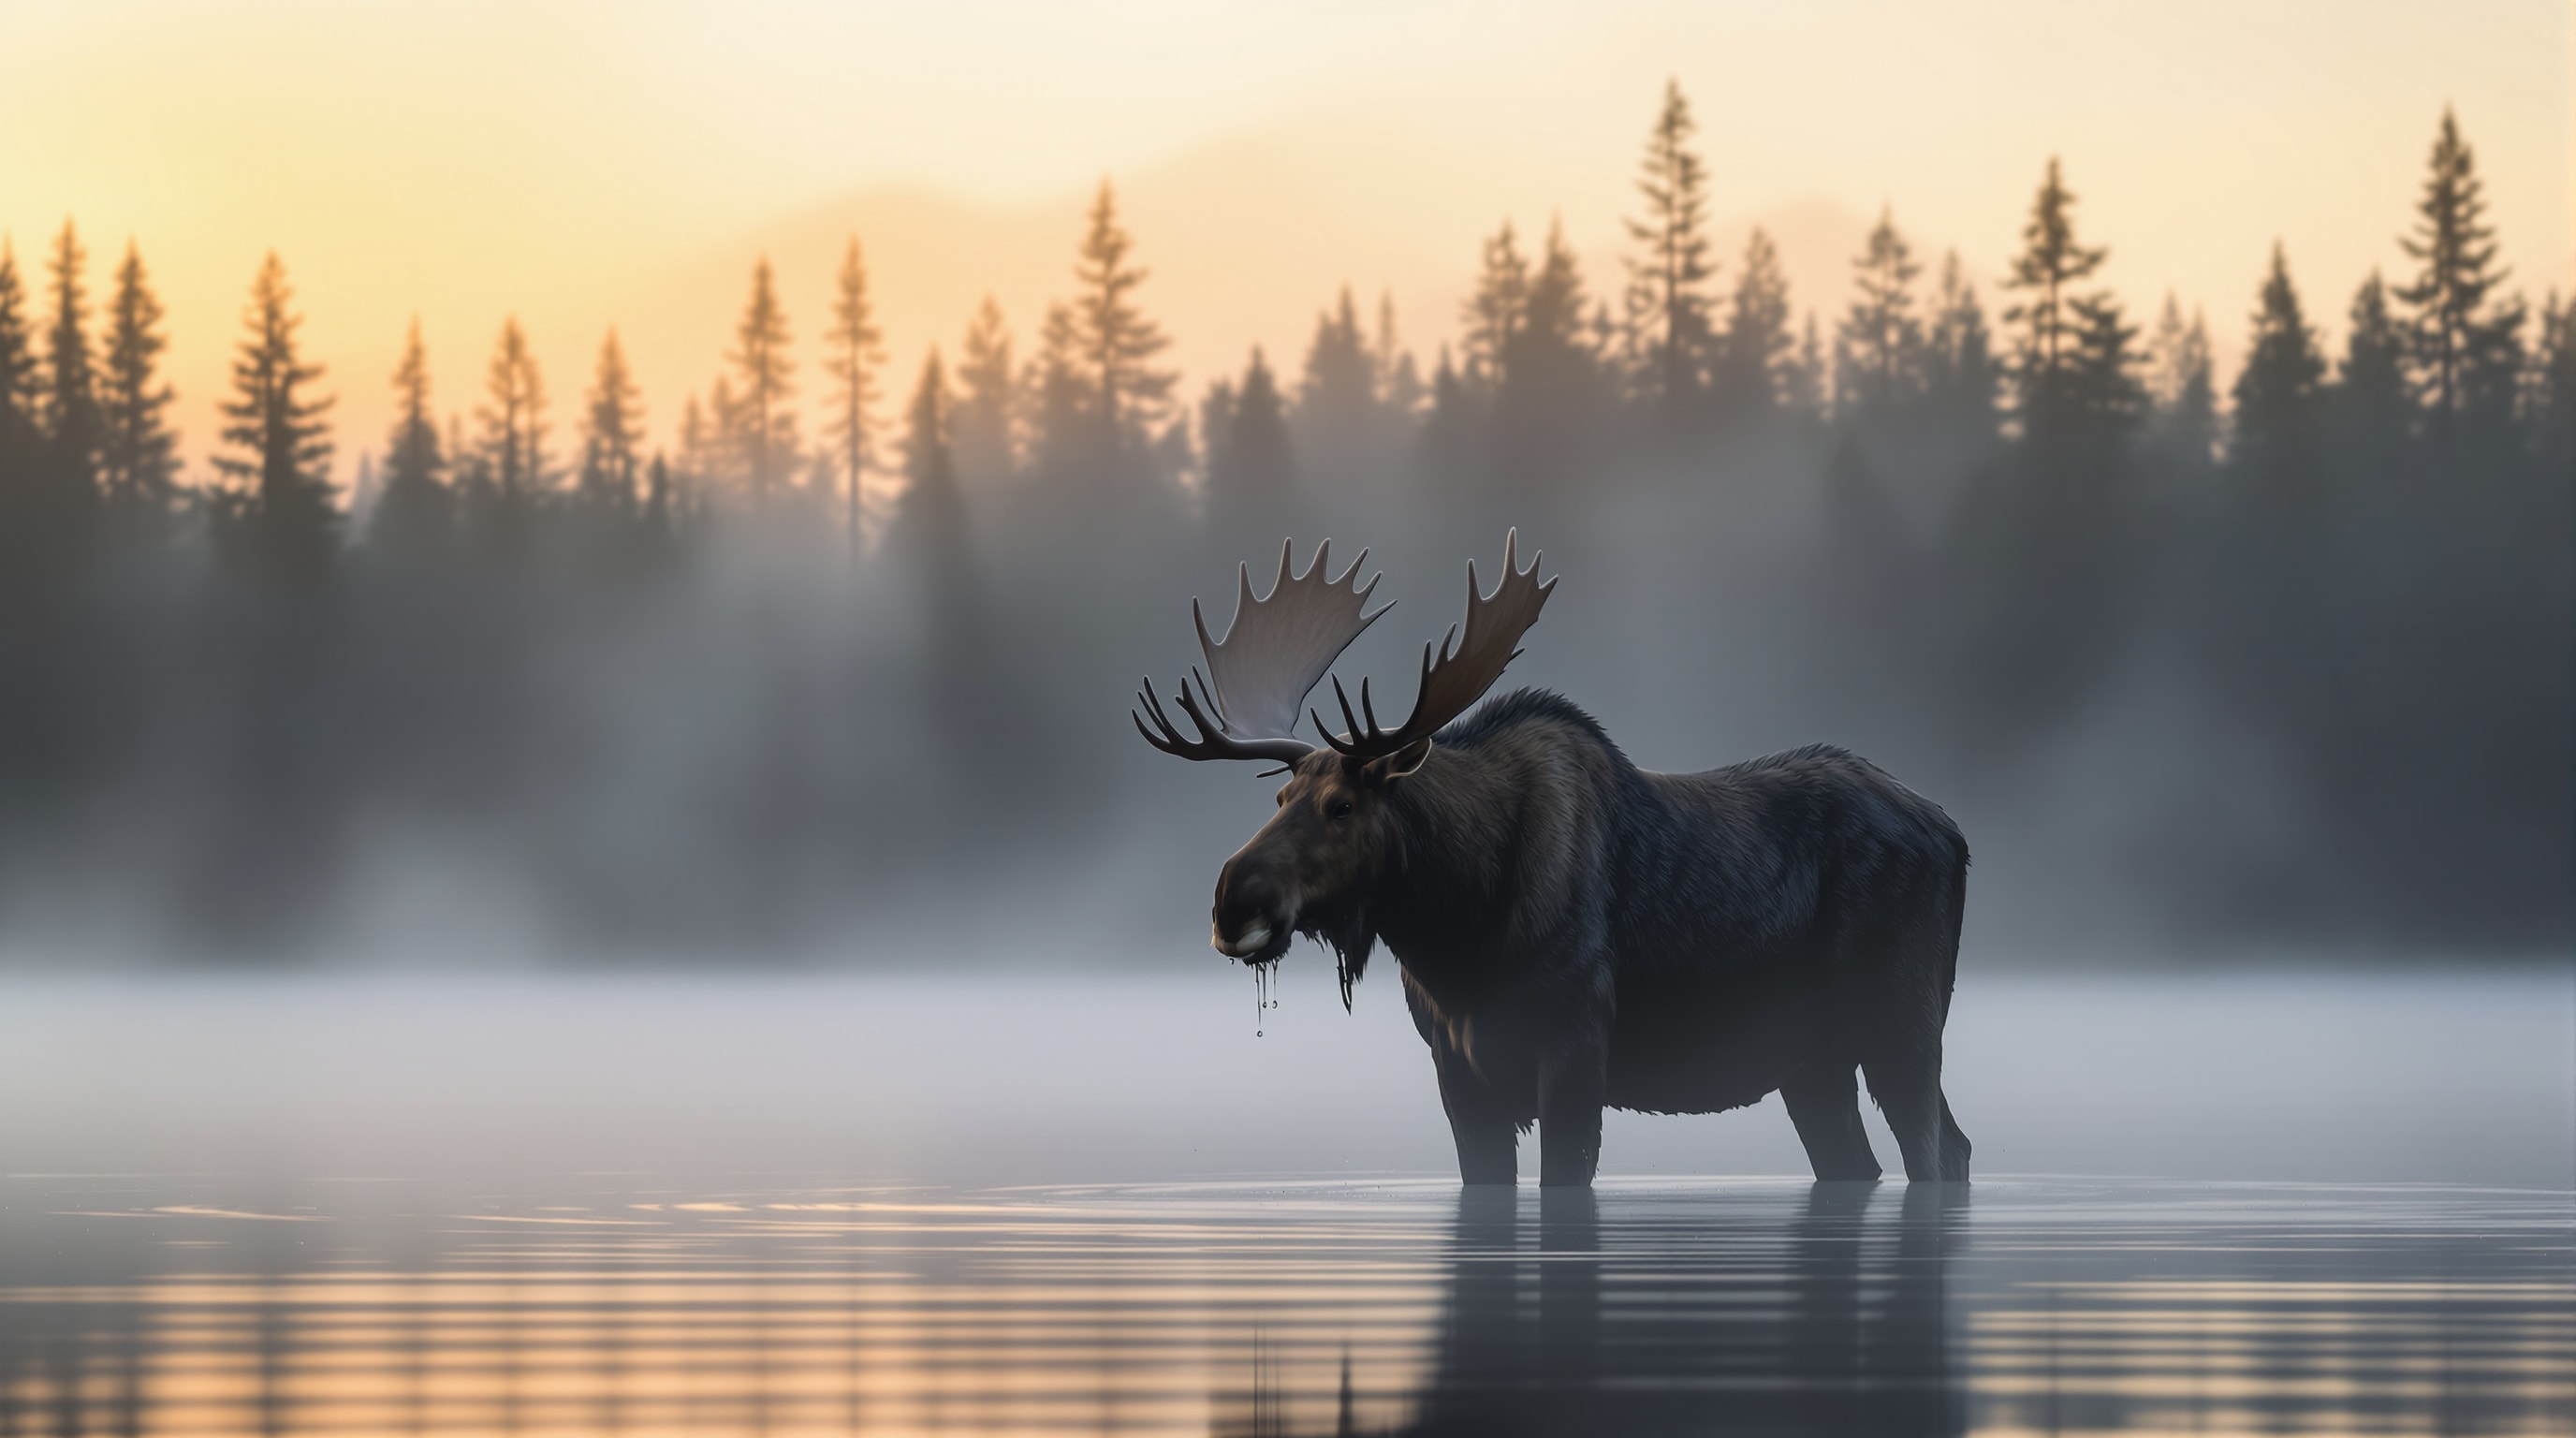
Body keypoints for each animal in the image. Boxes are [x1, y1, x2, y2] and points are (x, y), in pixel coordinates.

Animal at [1135, 533, 1971, 1188]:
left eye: (1342, 806)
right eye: (1279, 799)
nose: (1233, 902)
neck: (1457, 932)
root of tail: (1954, 833)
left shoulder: (1574, 1045)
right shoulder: (1456, 1068)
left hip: (1900, 1022)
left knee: (1939, 1150)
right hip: (1812, 1065)